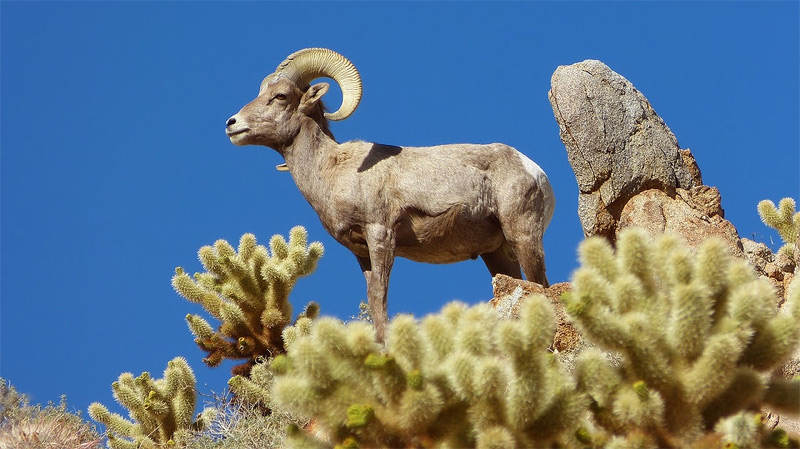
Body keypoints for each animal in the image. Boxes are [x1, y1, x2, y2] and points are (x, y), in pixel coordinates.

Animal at [223, 48, 552, 340]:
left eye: (281, 96)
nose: (232, 124)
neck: (332, 169)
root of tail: (535, 170)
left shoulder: (381, 234)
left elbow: (380, 294)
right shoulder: (360, 252)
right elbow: (371, 297)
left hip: (522, 236)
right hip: (496, 253)